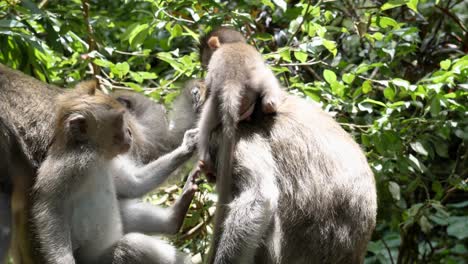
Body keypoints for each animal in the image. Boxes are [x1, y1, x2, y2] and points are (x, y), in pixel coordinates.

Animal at [0, 64, 205, 264]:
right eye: (120, 120)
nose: (129, 133)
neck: (96, 154)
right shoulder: (69, 164)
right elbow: (50, 208)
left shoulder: (111, 161)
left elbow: (133, 185)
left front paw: (188, 144)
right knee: (130, 245)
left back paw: (174, 218)